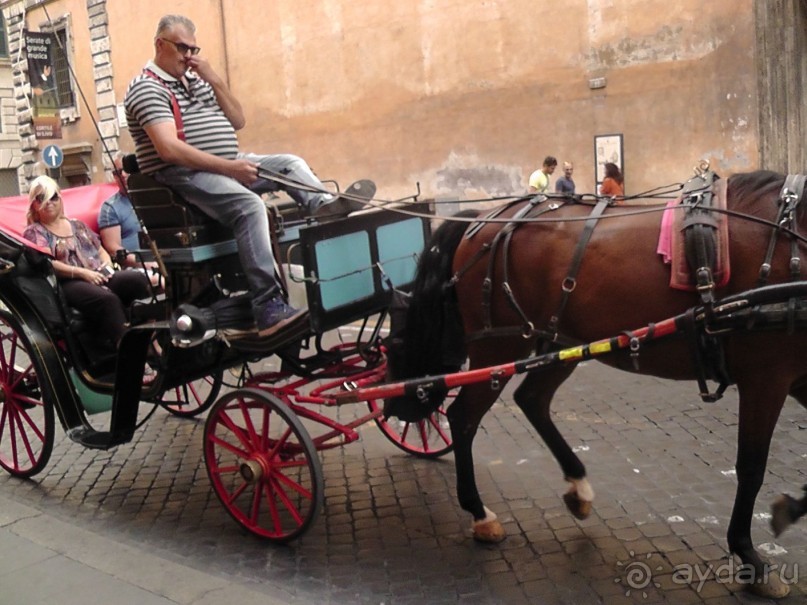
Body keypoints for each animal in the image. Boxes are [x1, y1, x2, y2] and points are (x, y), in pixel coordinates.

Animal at [388, 169, 807, 596]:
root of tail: (484, 219)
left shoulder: (797, 377)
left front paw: (787, 512)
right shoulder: (766, 376)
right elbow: (752, 467)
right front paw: (751, 557)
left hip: (560, 341)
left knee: (531, 399)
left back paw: (577, 486)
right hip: (498, 346)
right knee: (463, 418)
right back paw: (479, 513)